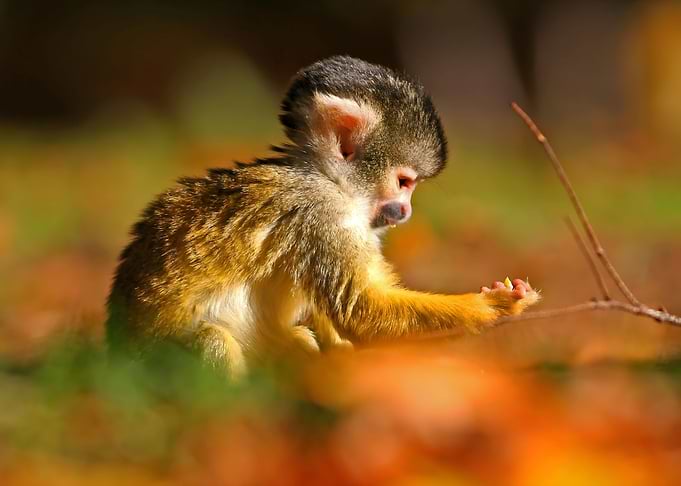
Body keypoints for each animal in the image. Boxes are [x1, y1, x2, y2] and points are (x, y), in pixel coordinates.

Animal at [107, 56, 540, 376]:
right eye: (404, 182)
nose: (406, 211)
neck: (331, 181)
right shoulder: (321, 215)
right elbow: (361, 308)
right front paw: (493, 306)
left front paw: (341, 355)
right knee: (211, 339)